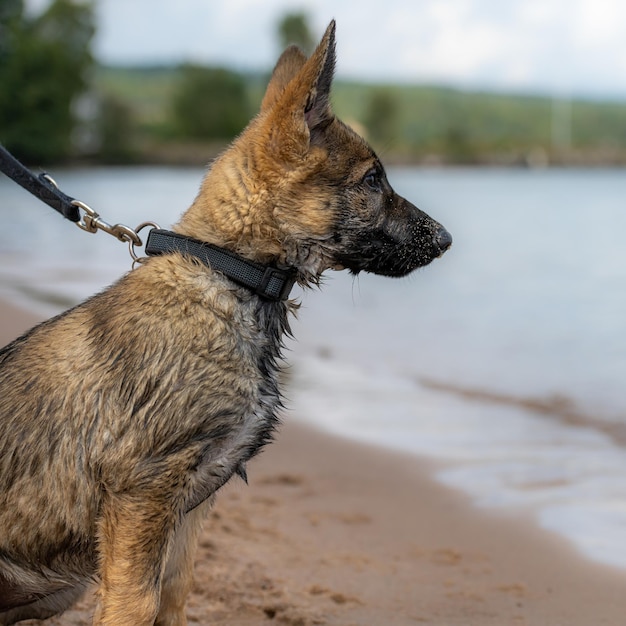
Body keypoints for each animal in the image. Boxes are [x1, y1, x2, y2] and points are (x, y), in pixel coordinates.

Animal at [0, 22, 448, 624]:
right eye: (373, 179)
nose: (446, 239)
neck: (229, 276)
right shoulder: (144, 490)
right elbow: (134, 605)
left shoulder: (190, 505)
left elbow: (173, 593)